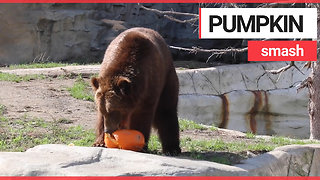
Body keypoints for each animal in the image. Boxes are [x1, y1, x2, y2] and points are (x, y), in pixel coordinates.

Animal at [91, 27, 181, 155]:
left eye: (113, 110)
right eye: (104, 110)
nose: (108, 130)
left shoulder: (149, 86)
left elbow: (142, 115)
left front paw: (139, 143)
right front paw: (99, 142)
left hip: (168, 78)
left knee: (166, 110)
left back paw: (172, 148)